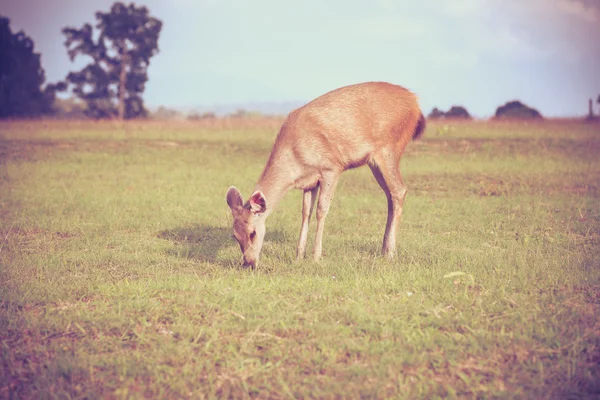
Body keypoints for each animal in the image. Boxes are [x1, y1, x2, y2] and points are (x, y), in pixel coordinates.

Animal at [225, 81, 426, 268]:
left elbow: (321, 209)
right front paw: (299, 256)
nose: (248, 263)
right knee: (390, 194)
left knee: (399, 190)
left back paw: (390, 253)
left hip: (389, 148)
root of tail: (415, 103)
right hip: (374, 161)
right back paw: (384, 249)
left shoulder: (331, 168)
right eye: (234, 235)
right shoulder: (309, 182)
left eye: (253, 232)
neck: (296, 159)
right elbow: (305, 212)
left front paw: (316, 256)